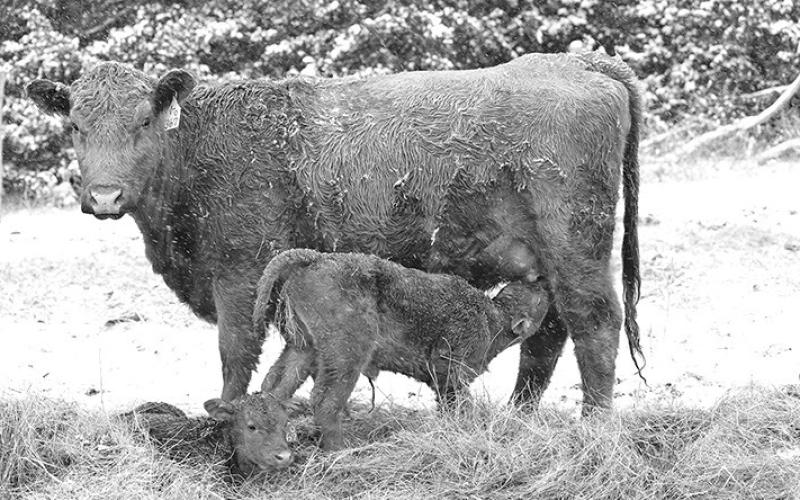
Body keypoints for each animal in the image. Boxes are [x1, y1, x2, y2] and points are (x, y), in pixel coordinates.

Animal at [26, 51, 642, 414]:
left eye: (143, 121)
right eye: (75, 126)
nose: (104, 197)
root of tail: (578, 62)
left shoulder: (240, 275)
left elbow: (235, 354)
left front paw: (225, 416)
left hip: (576, 245)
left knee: (593, 323)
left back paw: (594, 425)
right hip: (543, 260)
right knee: (548, 333)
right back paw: (519, 418)